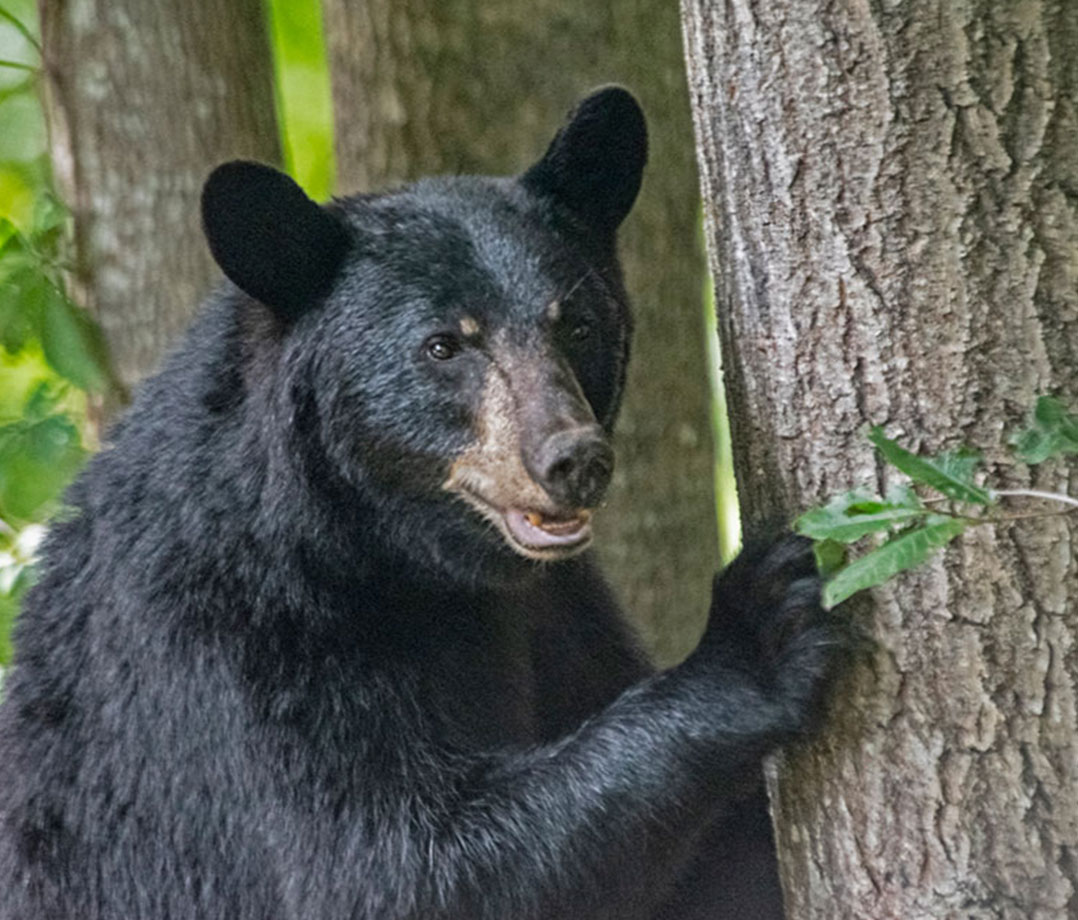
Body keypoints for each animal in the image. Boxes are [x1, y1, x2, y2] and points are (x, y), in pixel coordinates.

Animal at [0, 87, 840, 918]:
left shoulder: (556, 612)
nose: (573, 460)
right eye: (443, 344)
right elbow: (387, 868)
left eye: (577, 324)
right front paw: (755, 633)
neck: (396, 556)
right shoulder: (228, 643)